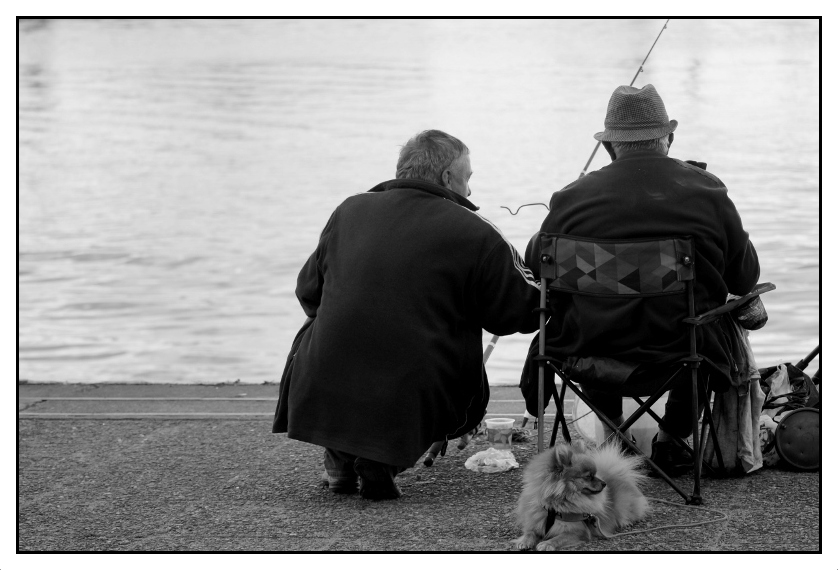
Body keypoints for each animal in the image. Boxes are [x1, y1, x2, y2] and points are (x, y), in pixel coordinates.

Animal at [512, 438, 648, 548]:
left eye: (595, 474)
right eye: (588, 476)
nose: (604, 484)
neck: (555, 506)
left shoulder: (578, 532)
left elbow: (559, 538)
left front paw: (547, 543)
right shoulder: (535, 523)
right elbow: (529, 532)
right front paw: (524, 541)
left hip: (624, 506)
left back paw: (627, 522)